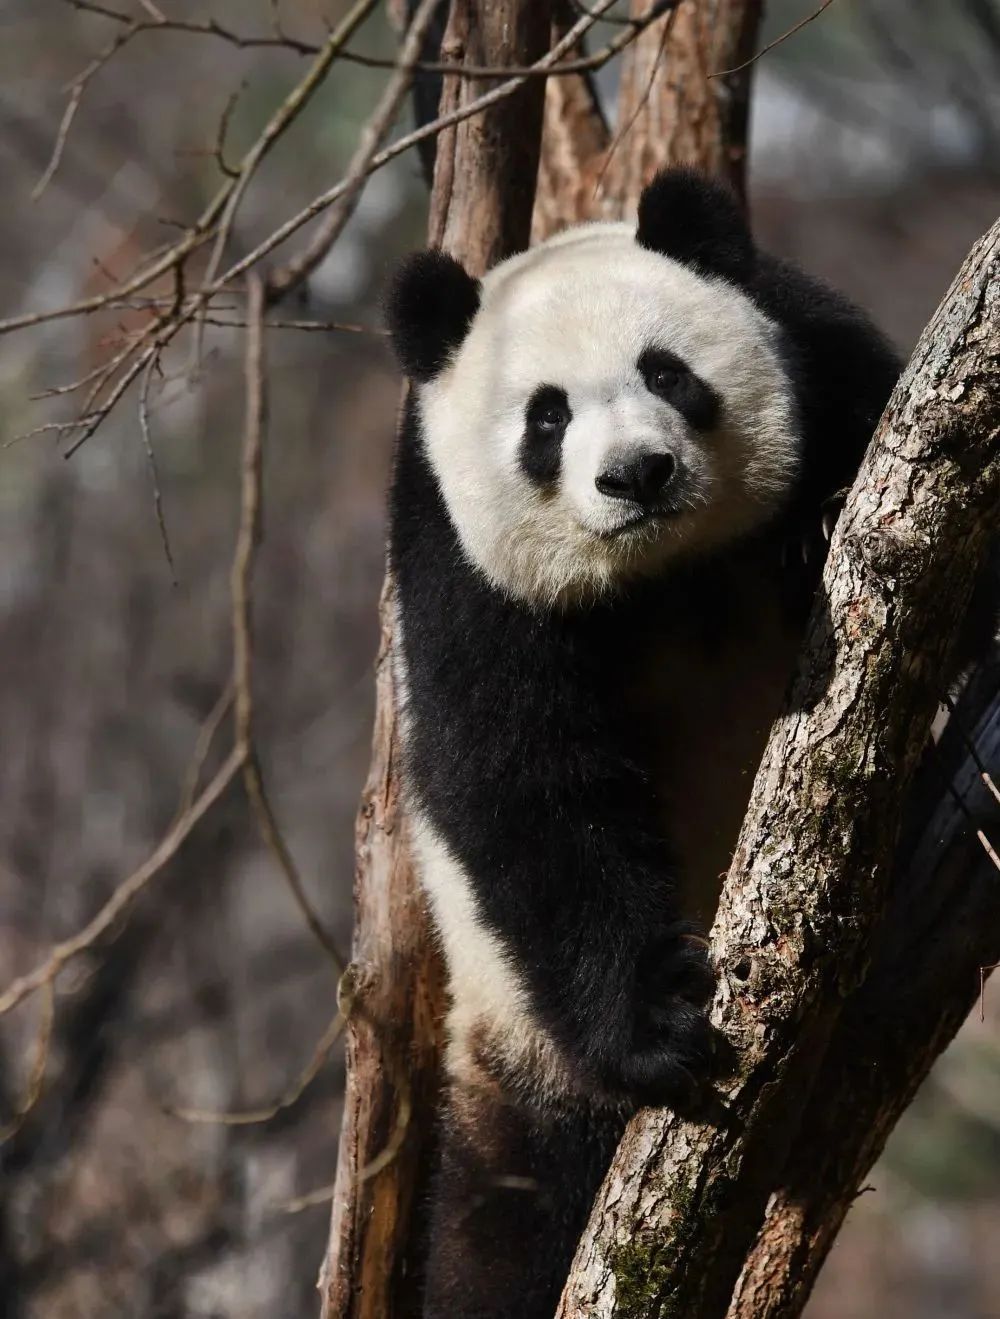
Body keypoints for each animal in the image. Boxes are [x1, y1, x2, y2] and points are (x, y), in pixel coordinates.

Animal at [382, 170, 902, 1319]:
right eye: (546, 415)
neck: (666, 578)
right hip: (513, 1035)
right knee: (510, 1214)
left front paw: (819, 530)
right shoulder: (460, 569)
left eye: (667, 371)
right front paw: (661, 1016)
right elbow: (521, 777)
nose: (636, 474)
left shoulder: (823, 359)